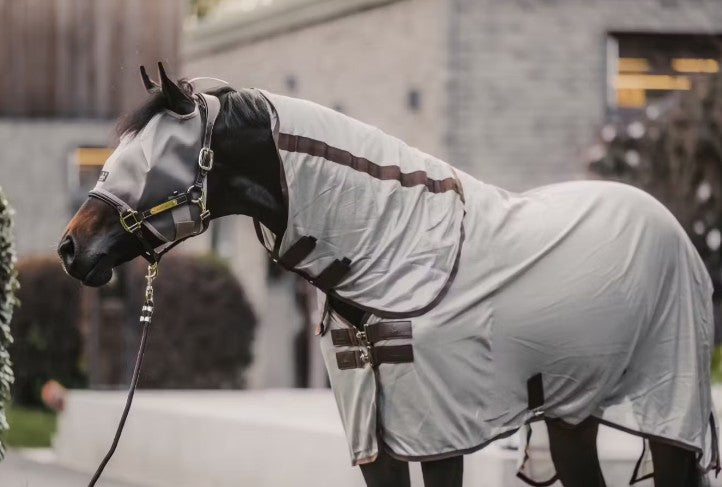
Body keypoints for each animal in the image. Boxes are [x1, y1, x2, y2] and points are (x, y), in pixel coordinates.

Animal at [59, 64, 718, 487]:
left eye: (150, 162)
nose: (71, 249)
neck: (396, 252)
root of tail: (673, 229)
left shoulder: (443, 435)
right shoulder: (376, 442)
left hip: (669, 413)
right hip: (572, 415)